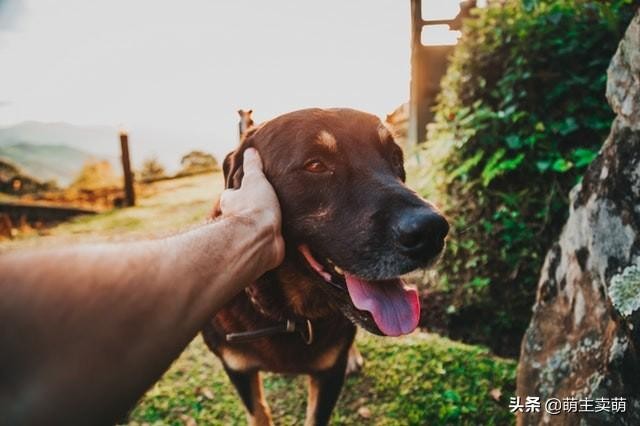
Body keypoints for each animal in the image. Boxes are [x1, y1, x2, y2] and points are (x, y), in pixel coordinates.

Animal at [202, 109, 448, 426]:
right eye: (316, 165)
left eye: (395, 157)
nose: (432, 232)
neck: (288, 316)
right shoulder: (238, 369)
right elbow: (259, 413)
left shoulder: (329, 373)